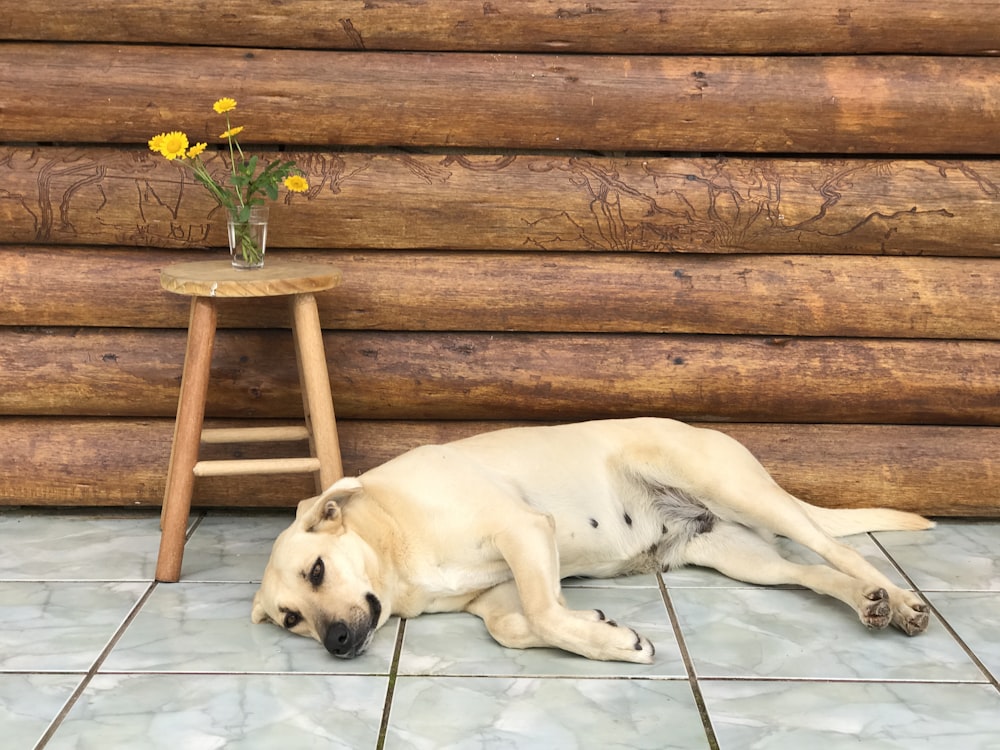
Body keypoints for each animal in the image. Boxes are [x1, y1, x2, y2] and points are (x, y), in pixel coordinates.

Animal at [248, 420, 928, 668]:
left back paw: (899, 599)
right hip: (745, 559)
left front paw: (615, 644)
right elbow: (516, 626)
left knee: (842, 551)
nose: (336, 642)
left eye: (316, 570)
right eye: (290, 620)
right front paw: (599, 625)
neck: (391, 540)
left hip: (740, 492)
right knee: (815, 575)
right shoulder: (495, 595)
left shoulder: (524, 530)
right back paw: (871, 602)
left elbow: (546, 612)